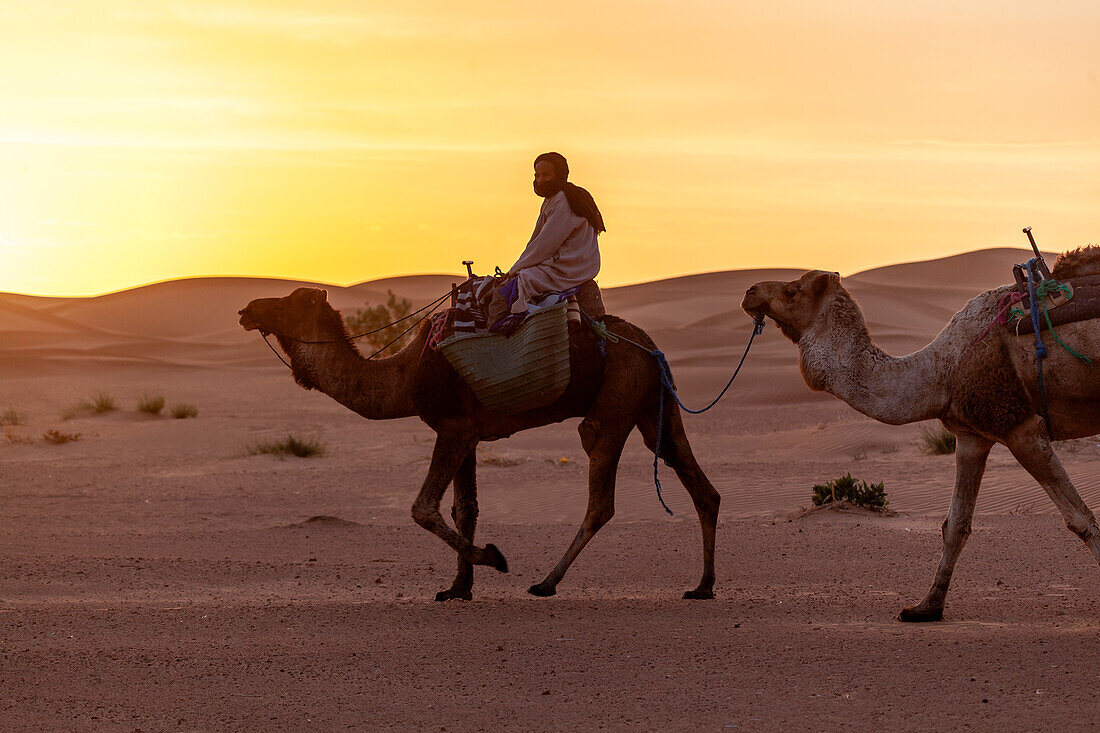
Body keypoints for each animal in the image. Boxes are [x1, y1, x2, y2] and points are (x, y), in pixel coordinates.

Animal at [238, 286, 721, 598]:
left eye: (289, 300)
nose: (246, 309)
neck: (404, 376)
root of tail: (650, 345)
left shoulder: (453, 427)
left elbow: (423, 508)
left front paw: (492, 558)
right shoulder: (467, 433)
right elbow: (463, 507)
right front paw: (458, 587)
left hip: (617, 401)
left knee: (601, 497)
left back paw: (545, 583)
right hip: (654, 407)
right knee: (699, 483)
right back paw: (702, 586)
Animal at [739, 249, 1100, 616]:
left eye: (792, 290)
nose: (750, 292)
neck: (940, 372)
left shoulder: (1021, 428)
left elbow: (1080, 519)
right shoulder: (972, 437)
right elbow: (955, 526)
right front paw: (925, 607)